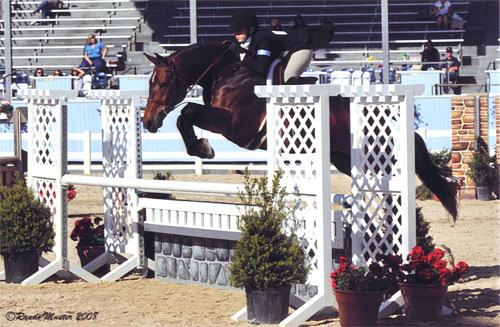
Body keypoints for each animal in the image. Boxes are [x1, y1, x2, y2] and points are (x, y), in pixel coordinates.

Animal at [143, 42, 458, 222]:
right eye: (150, 83)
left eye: (162, 83)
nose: (148, 122)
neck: (226, 74)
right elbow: (186, 114)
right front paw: (201, 147)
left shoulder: (235, 126)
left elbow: (187, 112)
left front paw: (203, 148)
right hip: (344, 159)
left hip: (376, 153)